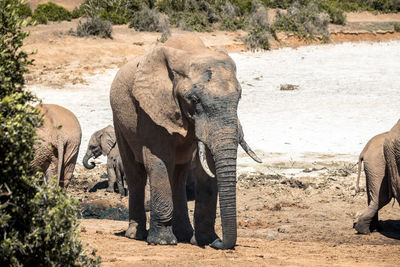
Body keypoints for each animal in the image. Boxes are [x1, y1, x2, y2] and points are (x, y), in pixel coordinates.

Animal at [110, 34, 260, 250]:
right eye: (194, 99)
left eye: (239, 98)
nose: (220, 243)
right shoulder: (151, 109)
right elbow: (159, 160)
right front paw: (162, 242)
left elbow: (207, 166)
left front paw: (206, 240)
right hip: (119, 120)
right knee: (135, 173)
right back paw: (136, 235)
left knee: (178, 175)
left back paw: (183, 235)